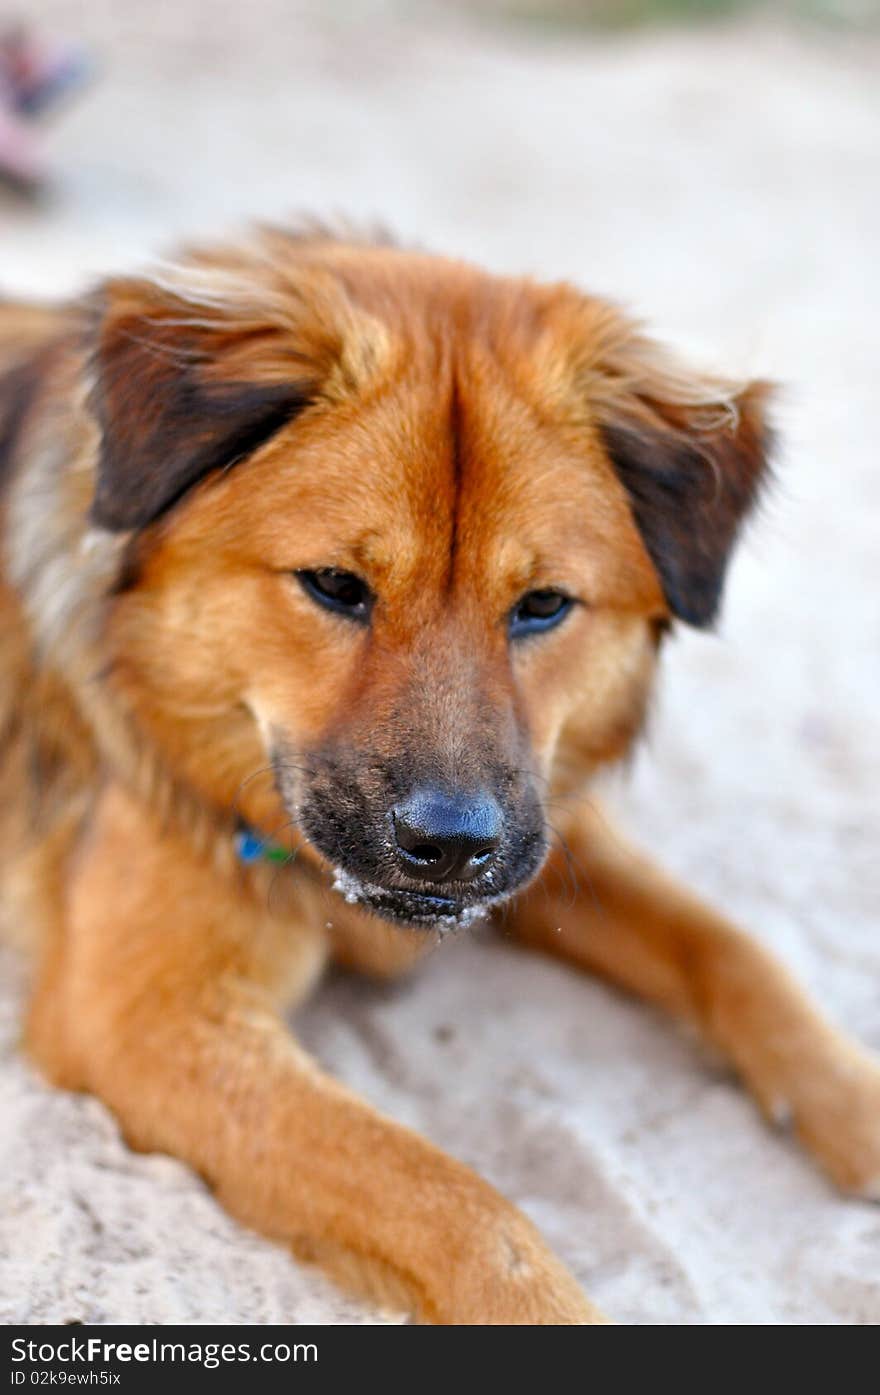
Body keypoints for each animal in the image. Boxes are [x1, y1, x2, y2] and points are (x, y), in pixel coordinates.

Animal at [1, 225, 880, 1316]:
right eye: (335, 585)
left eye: (542, 606)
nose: (451, 847)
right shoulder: (143, 1016)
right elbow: (454, 1198)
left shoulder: (546, 826)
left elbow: (735, 951)